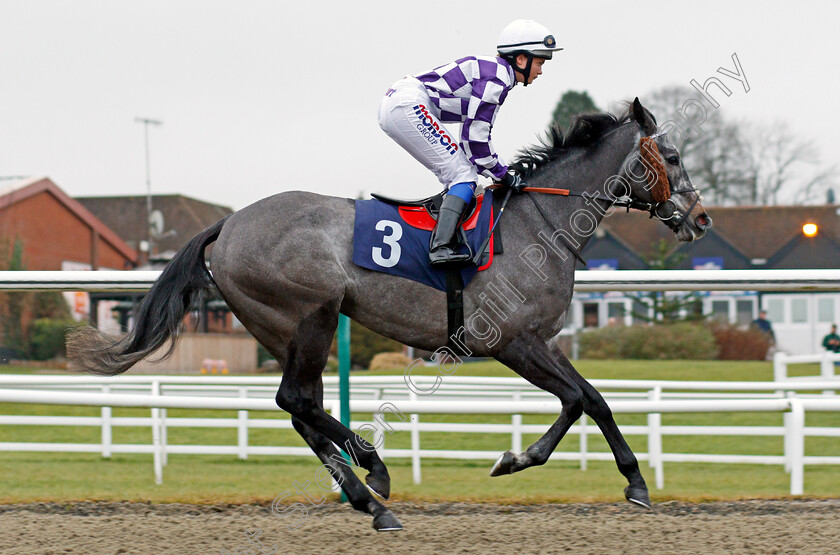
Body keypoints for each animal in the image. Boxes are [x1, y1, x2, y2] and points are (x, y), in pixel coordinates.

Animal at [69, 100, 708, 536]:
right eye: (673, 156)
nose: (699, 219)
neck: (539, 224)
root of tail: (228, 224)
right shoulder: (511, 342)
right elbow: (575, 400)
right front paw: (515, 459)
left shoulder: (543, 342)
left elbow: (594, 399)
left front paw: (635, 481)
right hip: (312, 315)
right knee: (297, 401)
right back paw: (374, 479)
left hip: (281, 329)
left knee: (301, 408)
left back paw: (368, 498)